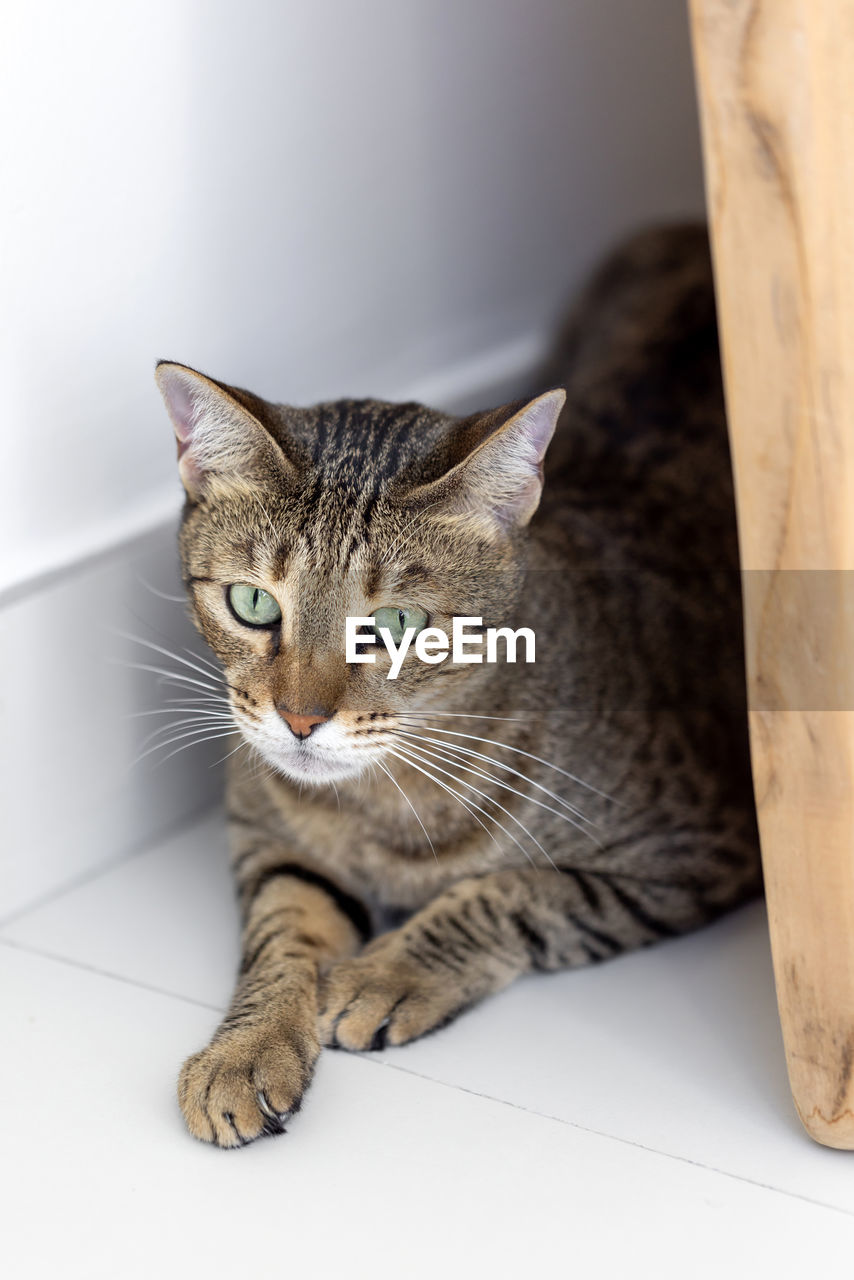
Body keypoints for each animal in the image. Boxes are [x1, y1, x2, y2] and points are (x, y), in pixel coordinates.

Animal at [155, 222, 763, 1152]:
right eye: (253, 603)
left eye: (400, 622)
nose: (298, 719)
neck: (381, 810)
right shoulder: (270, 839)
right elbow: (283, 928)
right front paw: (246, 1049)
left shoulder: (705, 848)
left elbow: (518, 893)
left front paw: (388, 972)